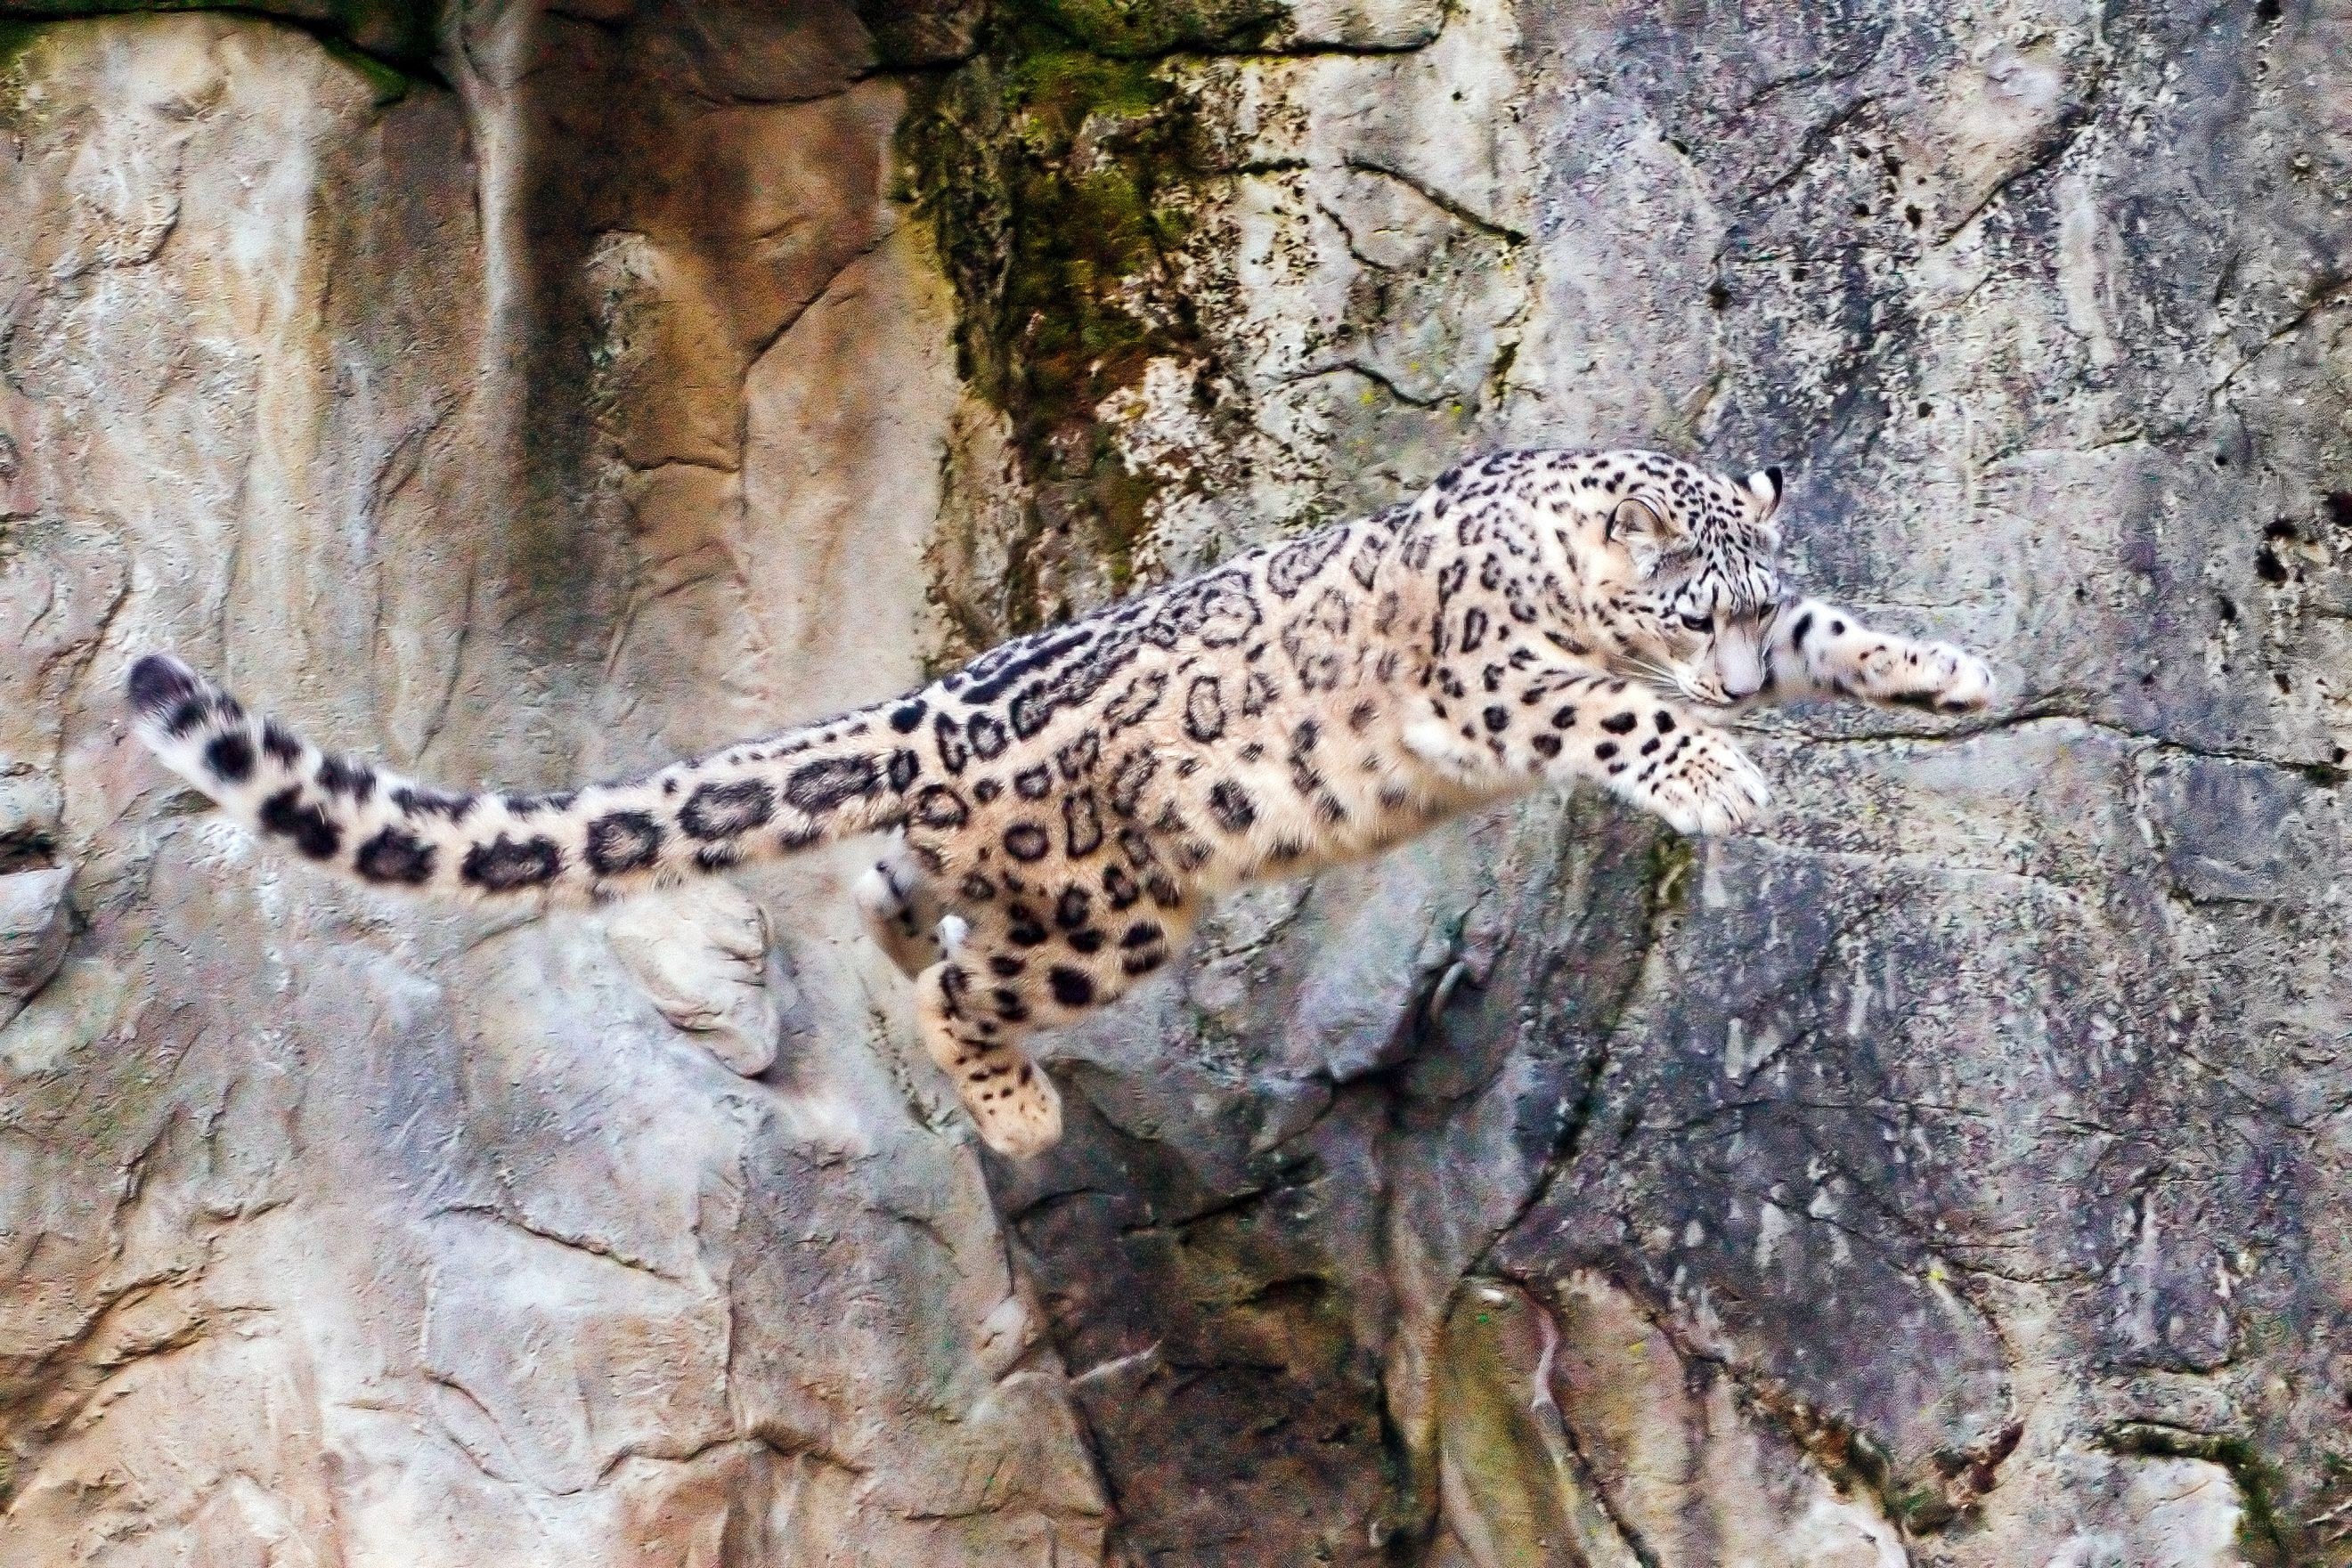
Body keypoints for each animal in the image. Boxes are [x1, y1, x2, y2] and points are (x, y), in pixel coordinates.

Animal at [126, 448, 1994, 1158]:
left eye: (1760, 604)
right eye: (1692, 611)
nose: (1735, 687)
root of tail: (929, 704)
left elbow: (1848, 638)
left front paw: (1945, 668)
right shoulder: (1493, 674)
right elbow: (1598, 700)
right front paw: (1721, 772)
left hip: (1021, 876)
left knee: (898, 900)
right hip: (1115, 907)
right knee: (967, 981)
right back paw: (1017, 1112)